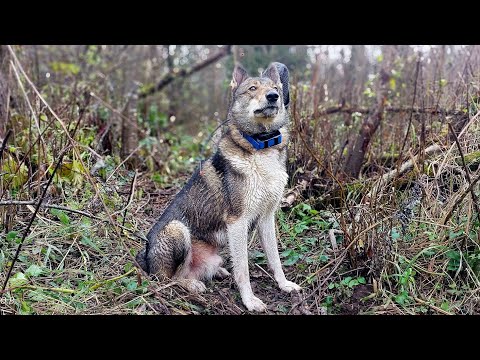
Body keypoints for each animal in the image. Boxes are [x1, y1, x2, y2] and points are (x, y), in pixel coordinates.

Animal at [136, 62, 300, 312]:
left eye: (275, 89)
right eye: (252, 88)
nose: (273, 97)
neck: (261, 147)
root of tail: (146, 259)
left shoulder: (266, 217)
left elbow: (275, 259)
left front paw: (284, 284)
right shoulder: (237, 222)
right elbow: (243, 269)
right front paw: (249, 300)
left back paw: (217, 272)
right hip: (176, 229)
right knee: (168, 278)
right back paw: (192, 284)